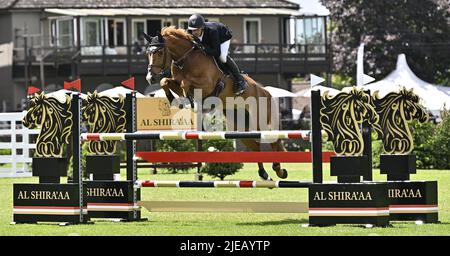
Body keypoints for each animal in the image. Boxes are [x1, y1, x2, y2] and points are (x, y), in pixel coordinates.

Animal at [146, 26, 290, 180]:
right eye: (148, 53)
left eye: (159, 52)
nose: (150, 77)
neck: (186, 60)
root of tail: (265, 91)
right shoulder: (176, 82)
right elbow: (165, 81)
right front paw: (176, 100)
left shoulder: (207, 85)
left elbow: (186, 83)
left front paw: (191, 101)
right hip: (239, 124)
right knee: (255, 146)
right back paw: (265, 174)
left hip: (259, 120)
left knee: (273, 139)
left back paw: (279, 170)